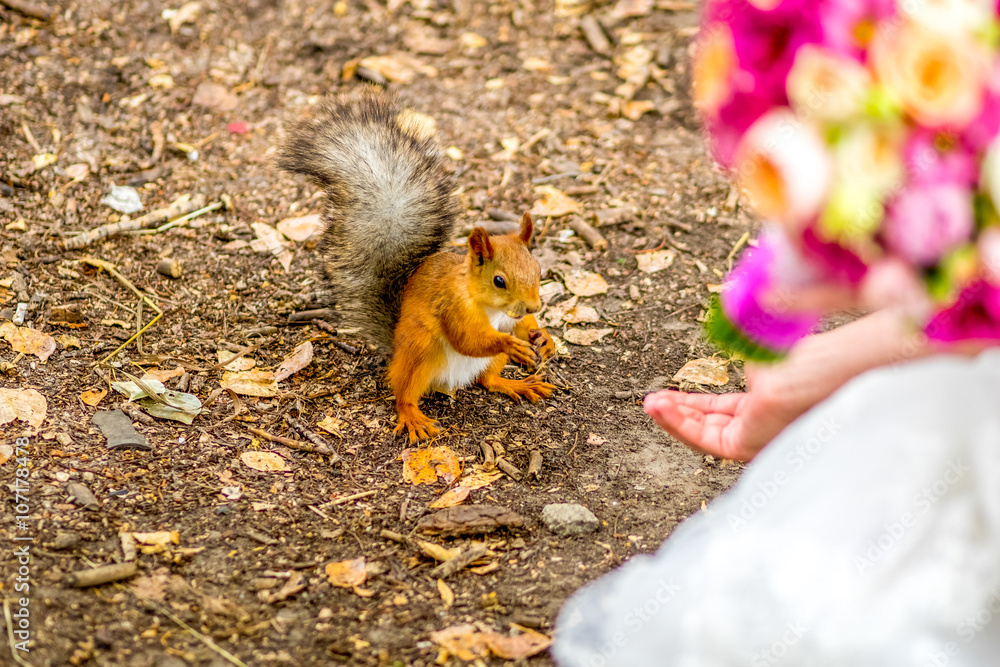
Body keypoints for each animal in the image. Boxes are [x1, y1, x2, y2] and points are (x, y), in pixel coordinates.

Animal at [282, 88, 560, 444]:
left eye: (539, 271)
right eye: (499, 280)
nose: (534, 305)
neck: (489, 306)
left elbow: (523, 325)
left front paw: (543, 336)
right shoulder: (452, 306)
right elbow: (468, 340)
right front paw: (512, 343)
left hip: (483, 364)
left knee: (487, 381)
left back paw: (515, 383)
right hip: (420, 352)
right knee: (404, 392)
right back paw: (412, 416)